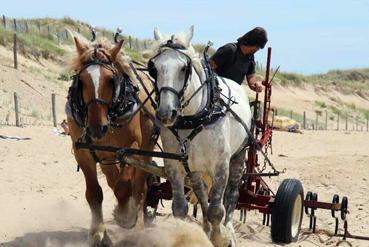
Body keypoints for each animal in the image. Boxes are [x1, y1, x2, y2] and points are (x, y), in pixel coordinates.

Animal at [67, 35, 155, 246]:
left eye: (110, 80)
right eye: (81, 80)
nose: (97, 128)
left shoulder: (131, 150)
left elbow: (123, 188)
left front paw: (126, 216)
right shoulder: (83, 153)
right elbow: (94, 194)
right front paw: (98, 233)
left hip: (145, 153)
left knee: (139, 188)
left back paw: (137, 225)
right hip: (106, 156)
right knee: (113, 179)